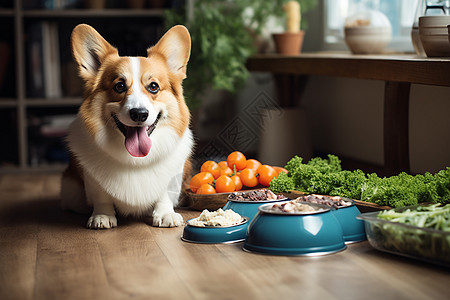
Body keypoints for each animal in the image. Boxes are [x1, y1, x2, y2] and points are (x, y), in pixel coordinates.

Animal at [60, 24, 193, 230]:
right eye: (120, 86)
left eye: (153, 86)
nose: (139, 114)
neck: (136, 160)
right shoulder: (93, 181)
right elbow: (101, 196)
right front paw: (102, 216)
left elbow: (165, 192)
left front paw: (165, 214)